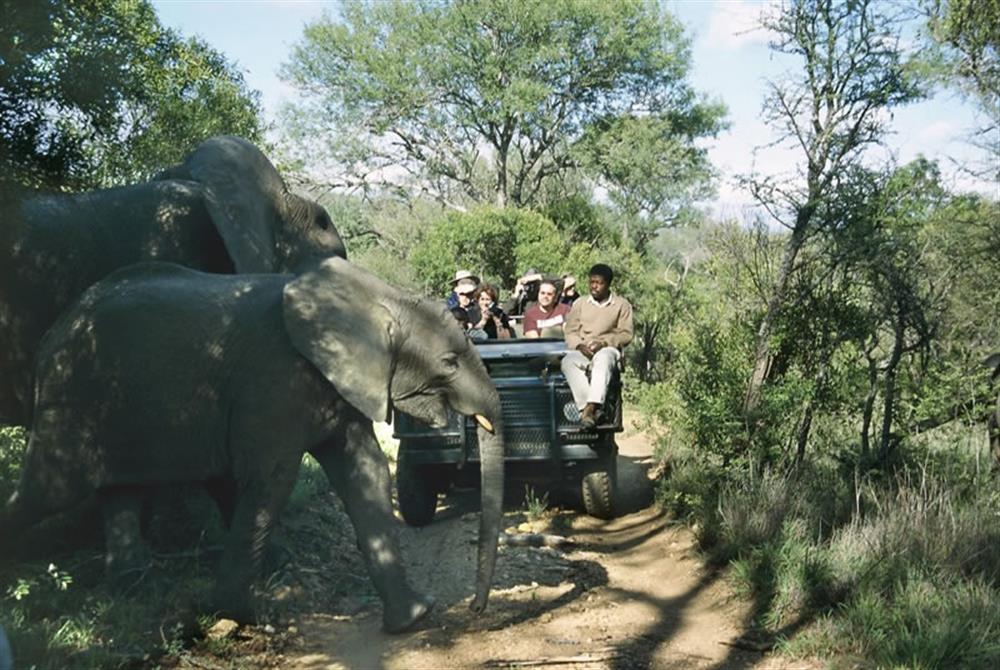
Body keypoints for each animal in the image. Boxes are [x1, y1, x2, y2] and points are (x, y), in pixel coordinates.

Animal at [0, 258, 504, 636]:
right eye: (449, 362)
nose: (477, 611)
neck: (378, 298)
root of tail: (51, 335)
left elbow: (366, 473)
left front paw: (414, 617)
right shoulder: (275, 379)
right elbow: (271, 480)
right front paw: (241, 615)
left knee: (120, 492)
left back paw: (137, 587)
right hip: (72, 395)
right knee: (50, 489)